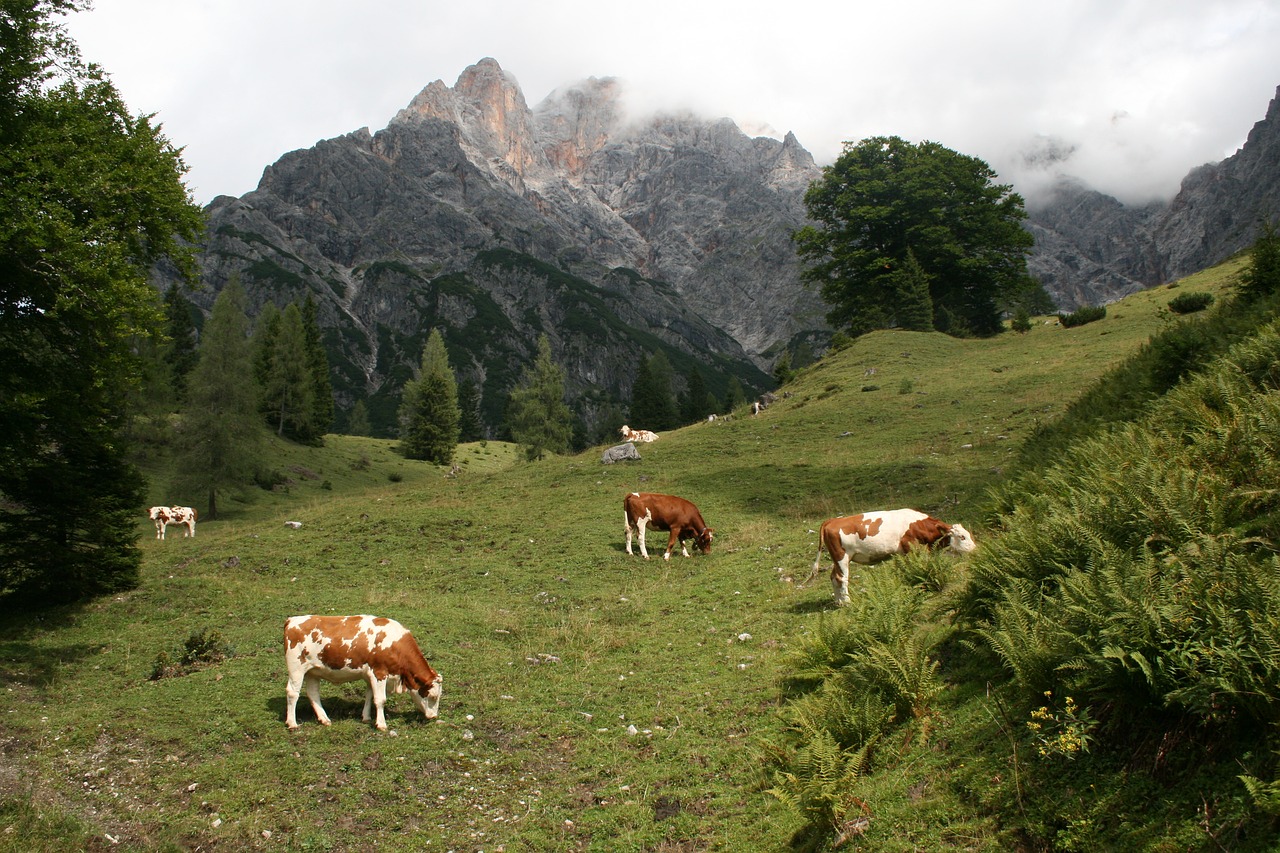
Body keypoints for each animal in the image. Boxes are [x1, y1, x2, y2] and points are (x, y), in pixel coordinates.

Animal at [282, 614, 442, 727]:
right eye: (433, 696)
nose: (433, 716)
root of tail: (292, 620)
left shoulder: (369, 675)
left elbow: (370, 696)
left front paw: (366, 717)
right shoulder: (379, 673)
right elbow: (380, 699)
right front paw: (381, 725)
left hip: (313, 671)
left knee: (313, 693)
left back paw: (324, 719)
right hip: (296, 667)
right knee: (292, 692)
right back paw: (292, 724)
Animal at [814, 504, 972, 604]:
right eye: (962, 537)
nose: (974, 549)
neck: (919, 525)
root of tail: (832, 521)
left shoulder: (901, 552)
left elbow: (906, 569)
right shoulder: (911, 547)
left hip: (837, 558)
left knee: (833, 577)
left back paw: (838, 602)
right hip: (841, 556)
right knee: (841, 578)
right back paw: (847, 601)